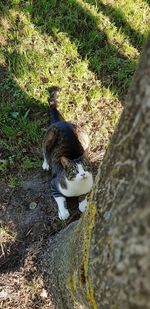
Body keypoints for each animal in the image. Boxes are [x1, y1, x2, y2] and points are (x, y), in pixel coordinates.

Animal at [42, 86, 93, 219]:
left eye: (85, 167)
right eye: (75, 170)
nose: (83, 174)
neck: (77, 187)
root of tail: (61, 121)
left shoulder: (89, 186)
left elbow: (84, 196)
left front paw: (83, 205)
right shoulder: (54, 185)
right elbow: (60, 199)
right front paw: (63, 213)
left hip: (85, 135)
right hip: (51, 134)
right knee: (44, 149)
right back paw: (46, 164)